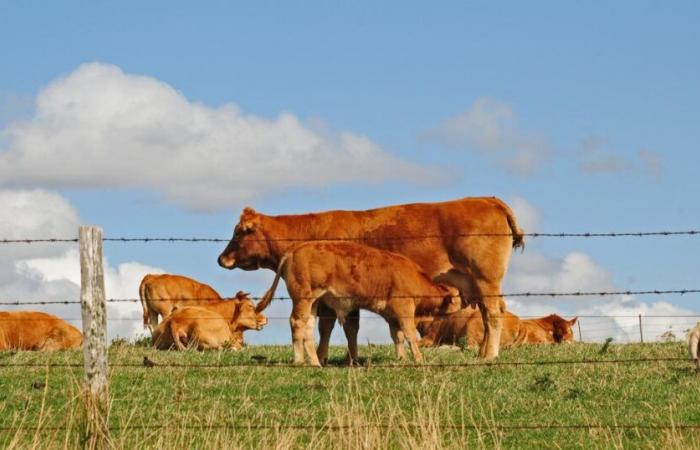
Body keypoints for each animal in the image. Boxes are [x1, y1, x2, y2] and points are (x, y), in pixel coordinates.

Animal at [254, 243, 462, 366]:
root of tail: (293, 251)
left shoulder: (392, 316)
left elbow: (398, 336)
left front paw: (401, 358)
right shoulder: (404, 309)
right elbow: (410, 334)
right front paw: (418, 359)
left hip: (313, 303)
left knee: (308, 328)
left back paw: (315, 362)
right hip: (303, 299)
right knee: (297, 323)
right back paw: (300, 361)